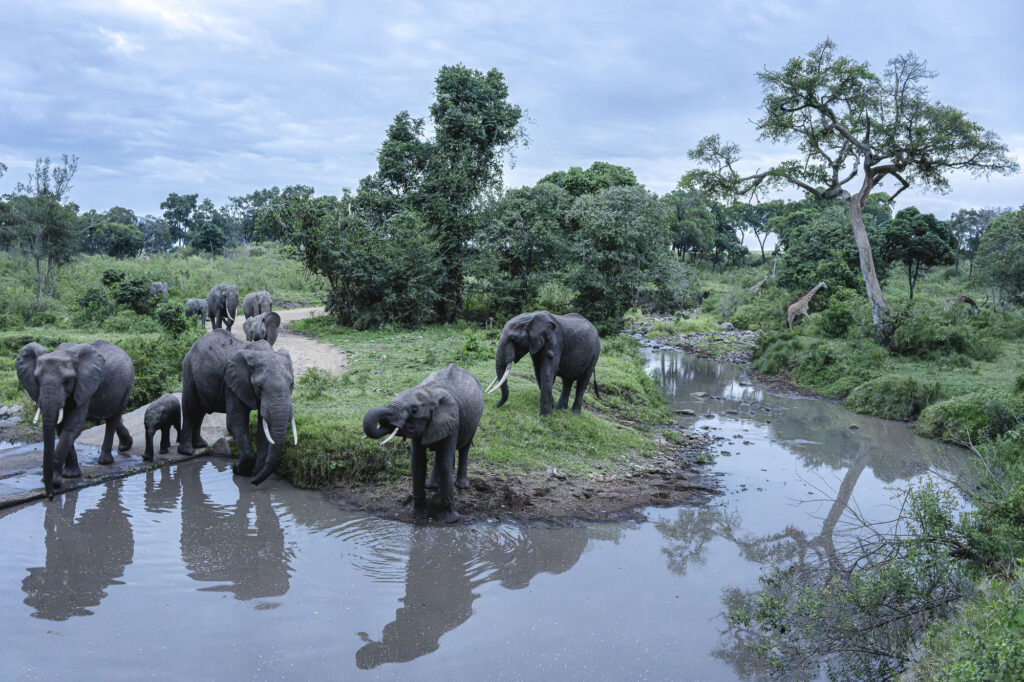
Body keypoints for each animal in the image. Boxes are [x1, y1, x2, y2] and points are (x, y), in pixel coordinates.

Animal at [16, 340, 135, 498]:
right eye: (37, 379)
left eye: (67, 381)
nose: (50, 495)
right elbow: (61, 427)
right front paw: (69, 476)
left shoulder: (84, 386)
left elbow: (73, 426)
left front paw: (56, 481)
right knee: (113, 418)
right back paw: (124, 446)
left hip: (126, 385)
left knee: (113, 417)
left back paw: (106, 461)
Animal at [178, 330, 296, 485]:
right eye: (259, 386)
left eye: (291, 385)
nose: (254, 482)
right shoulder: (233, 385)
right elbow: (235, 423)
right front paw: (239, 470)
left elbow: (263, 429)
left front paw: (254, 472)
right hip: (188, 368)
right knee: (190, 407)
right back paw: (187, 451)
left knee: (200, 411)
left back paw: (200, 445)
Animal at [362, 364, 483, 523]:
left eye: (414, 411)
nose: (387, 424)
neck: (430, 392)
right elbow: (417, 462)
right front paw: (417, 516)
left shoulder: (452, 420)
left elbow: (444, 462)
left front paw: (451, 520)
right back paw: (432, 486)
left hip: (473, 421)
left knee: (464, 448)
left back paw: (461, 486)